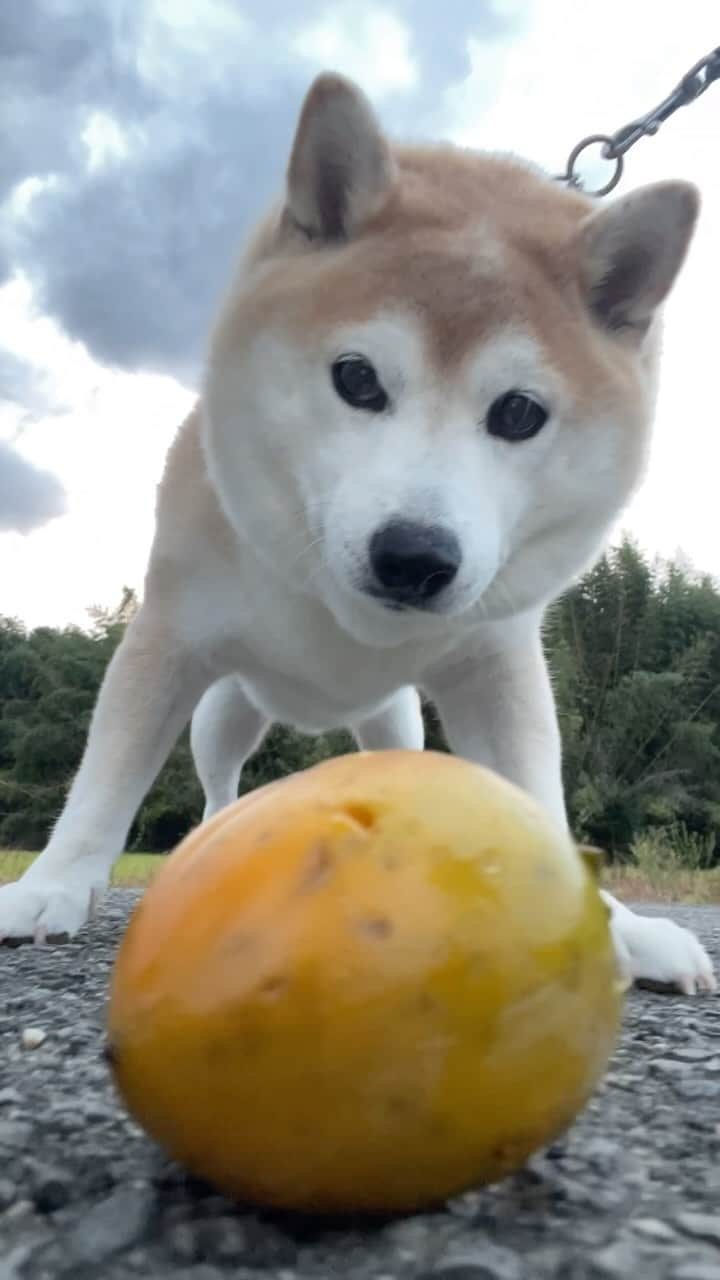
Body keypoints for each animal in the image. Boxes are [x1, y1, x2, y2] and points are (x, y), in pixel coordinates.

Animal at [1, 70, 712, 993]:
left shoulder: (497, 668)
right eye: (357, 379)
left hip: (395, 722)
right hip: (224, 712)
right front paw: (51, 885)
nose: (414, 557)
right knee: (220, 783)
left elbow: (538, 796)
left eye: (519, 413)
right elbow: (105, 779)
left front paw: (617, 927)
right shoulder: (167, 637)